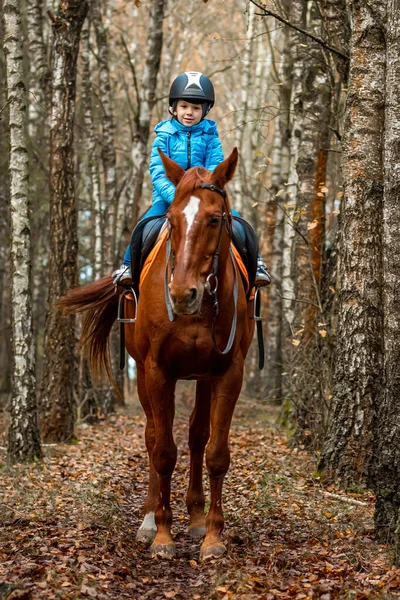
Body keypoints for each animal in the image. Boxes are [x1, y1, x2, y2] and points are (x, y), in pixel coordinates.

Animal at [57, 148, 255, 560]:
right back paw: (149, 521)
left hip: (203, 378)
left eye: (215, 219)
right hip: (146, 377)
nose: (181, 294)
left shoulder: (228, 372)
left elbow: (216, 453)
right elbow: (163, 450)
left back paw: (195, 518)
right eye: (172, 220)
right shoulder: (157, 371)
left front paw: (213, 536)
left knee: (196, 436)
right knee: (152, 437)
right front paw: (162, 536)